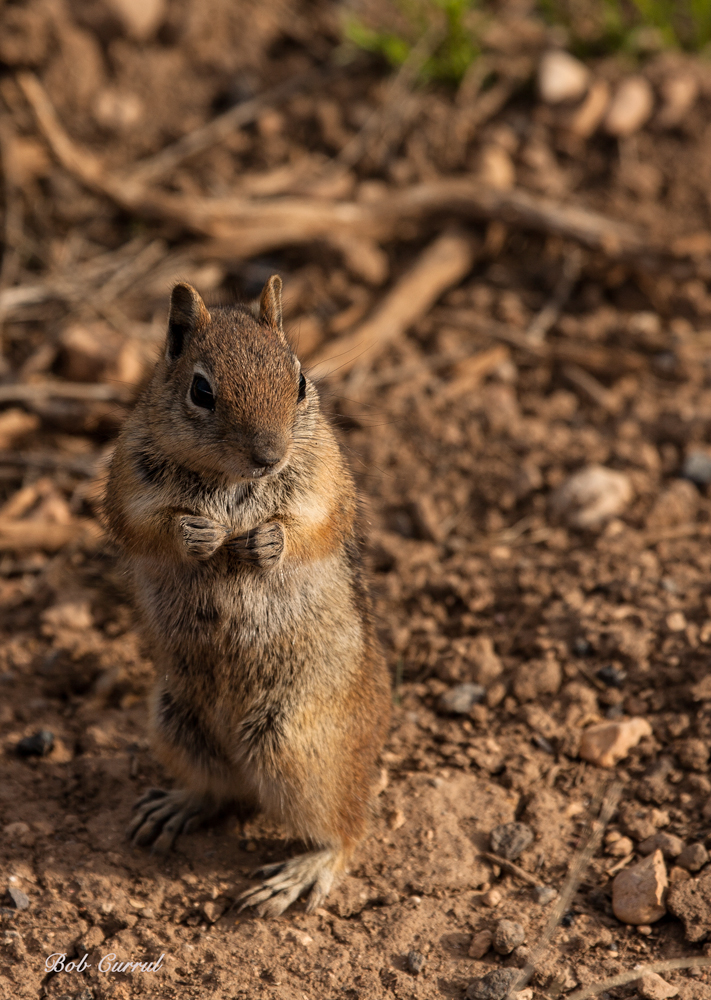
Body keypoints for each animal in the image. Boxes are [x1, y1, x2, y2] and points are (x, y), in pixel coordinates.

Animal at [104, 276, 391, 917]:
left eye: (301, 381)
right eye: (201, 391)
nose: (269, 455)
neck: (233, 484)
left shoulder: (328, 482)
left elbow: (316, 527)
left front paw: (267, 540)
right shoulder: (128, 484)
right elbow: (143, 526)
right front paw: (196, 534)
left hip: (292, 750)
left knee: (348, 833)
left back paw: (302, 872)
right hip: (176, 723)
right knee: (225, 793)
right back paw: (177, 806)